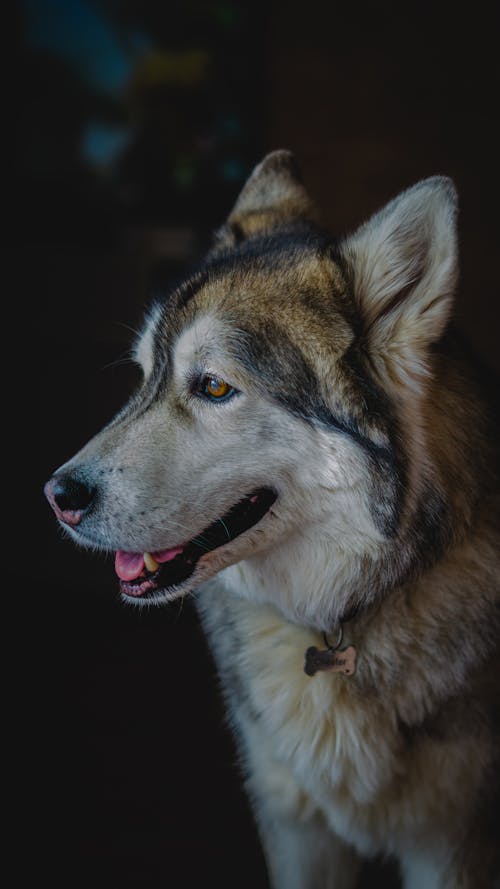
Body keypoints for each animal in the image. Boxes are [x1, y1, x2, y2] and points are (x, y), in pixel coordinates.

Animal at [45, 149, 498, 884]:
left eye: (214, 386)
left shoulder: (451, 845)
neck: (338, 618)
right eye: (143, 376)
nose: (57, 494)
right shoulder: (296, 831)